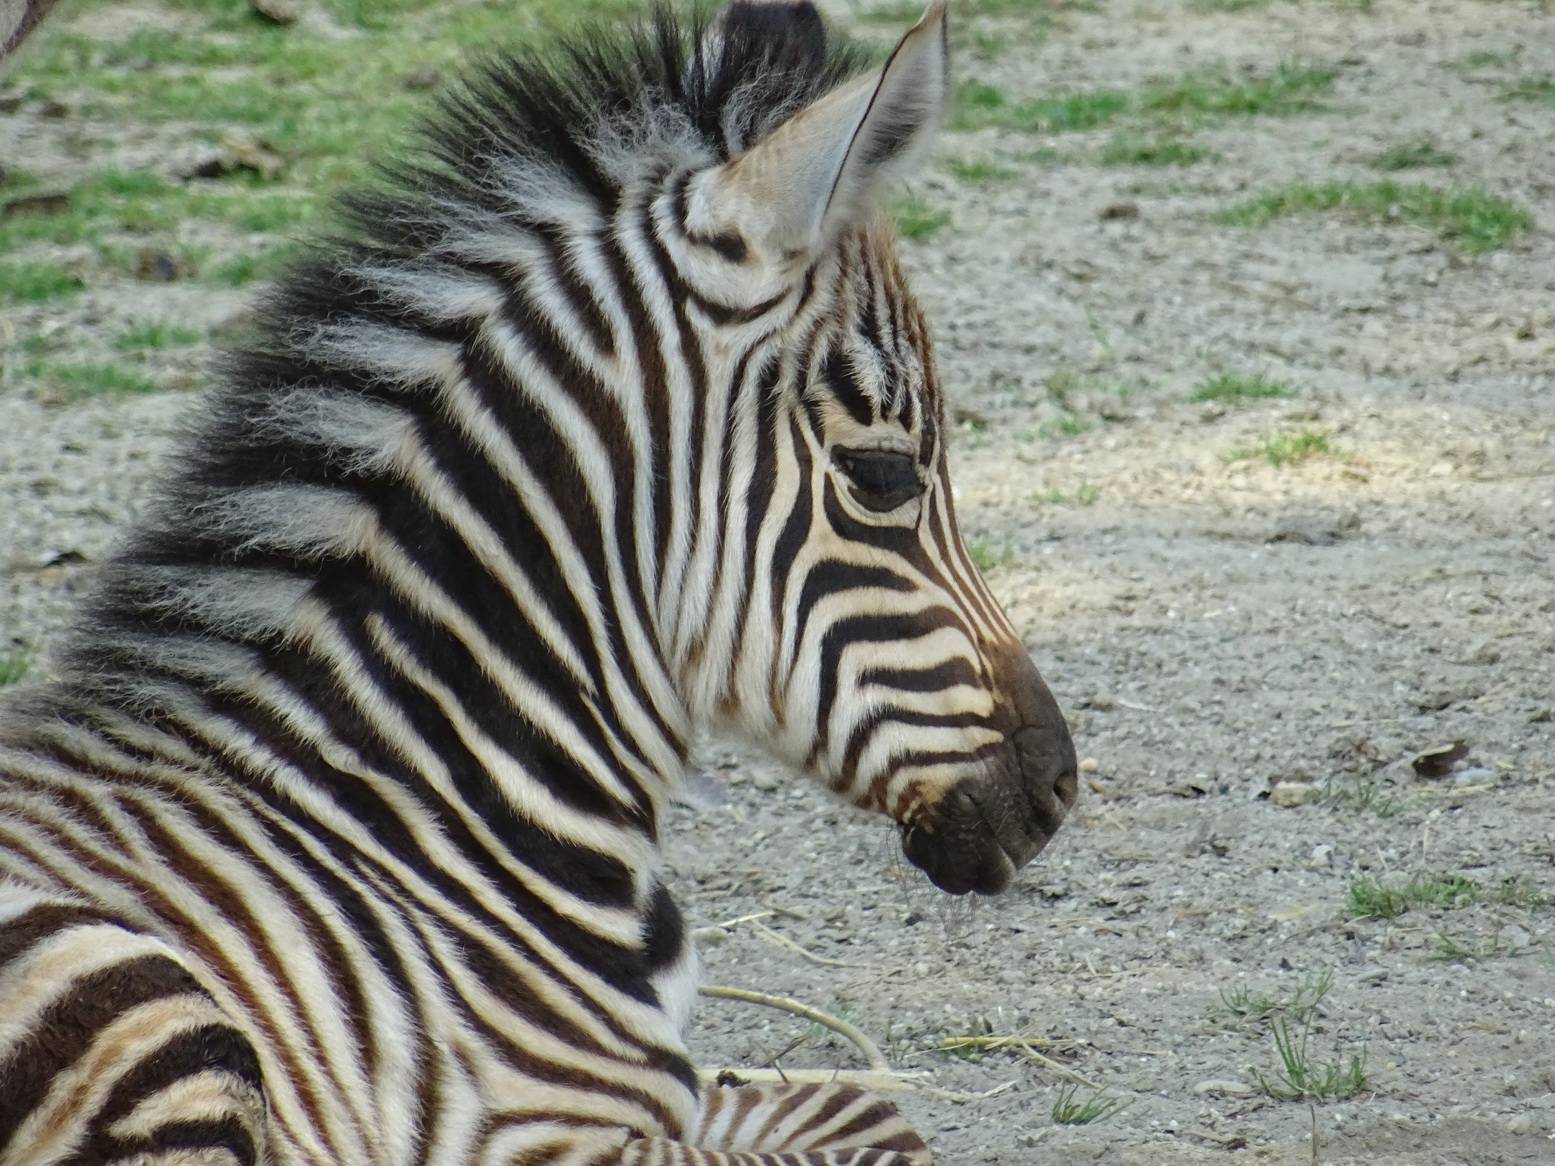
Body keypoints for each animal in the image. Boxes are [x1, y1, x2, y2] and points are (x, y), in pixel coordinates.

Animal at [0, 4, 1082, 1162]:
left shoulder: (680, 1088)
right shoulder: (535, 1132)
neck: (435, 803)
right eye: (883, 476)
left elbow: (848, 1099)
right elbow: (877, 1120)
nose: (1058, 789)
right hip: (153, 1007)